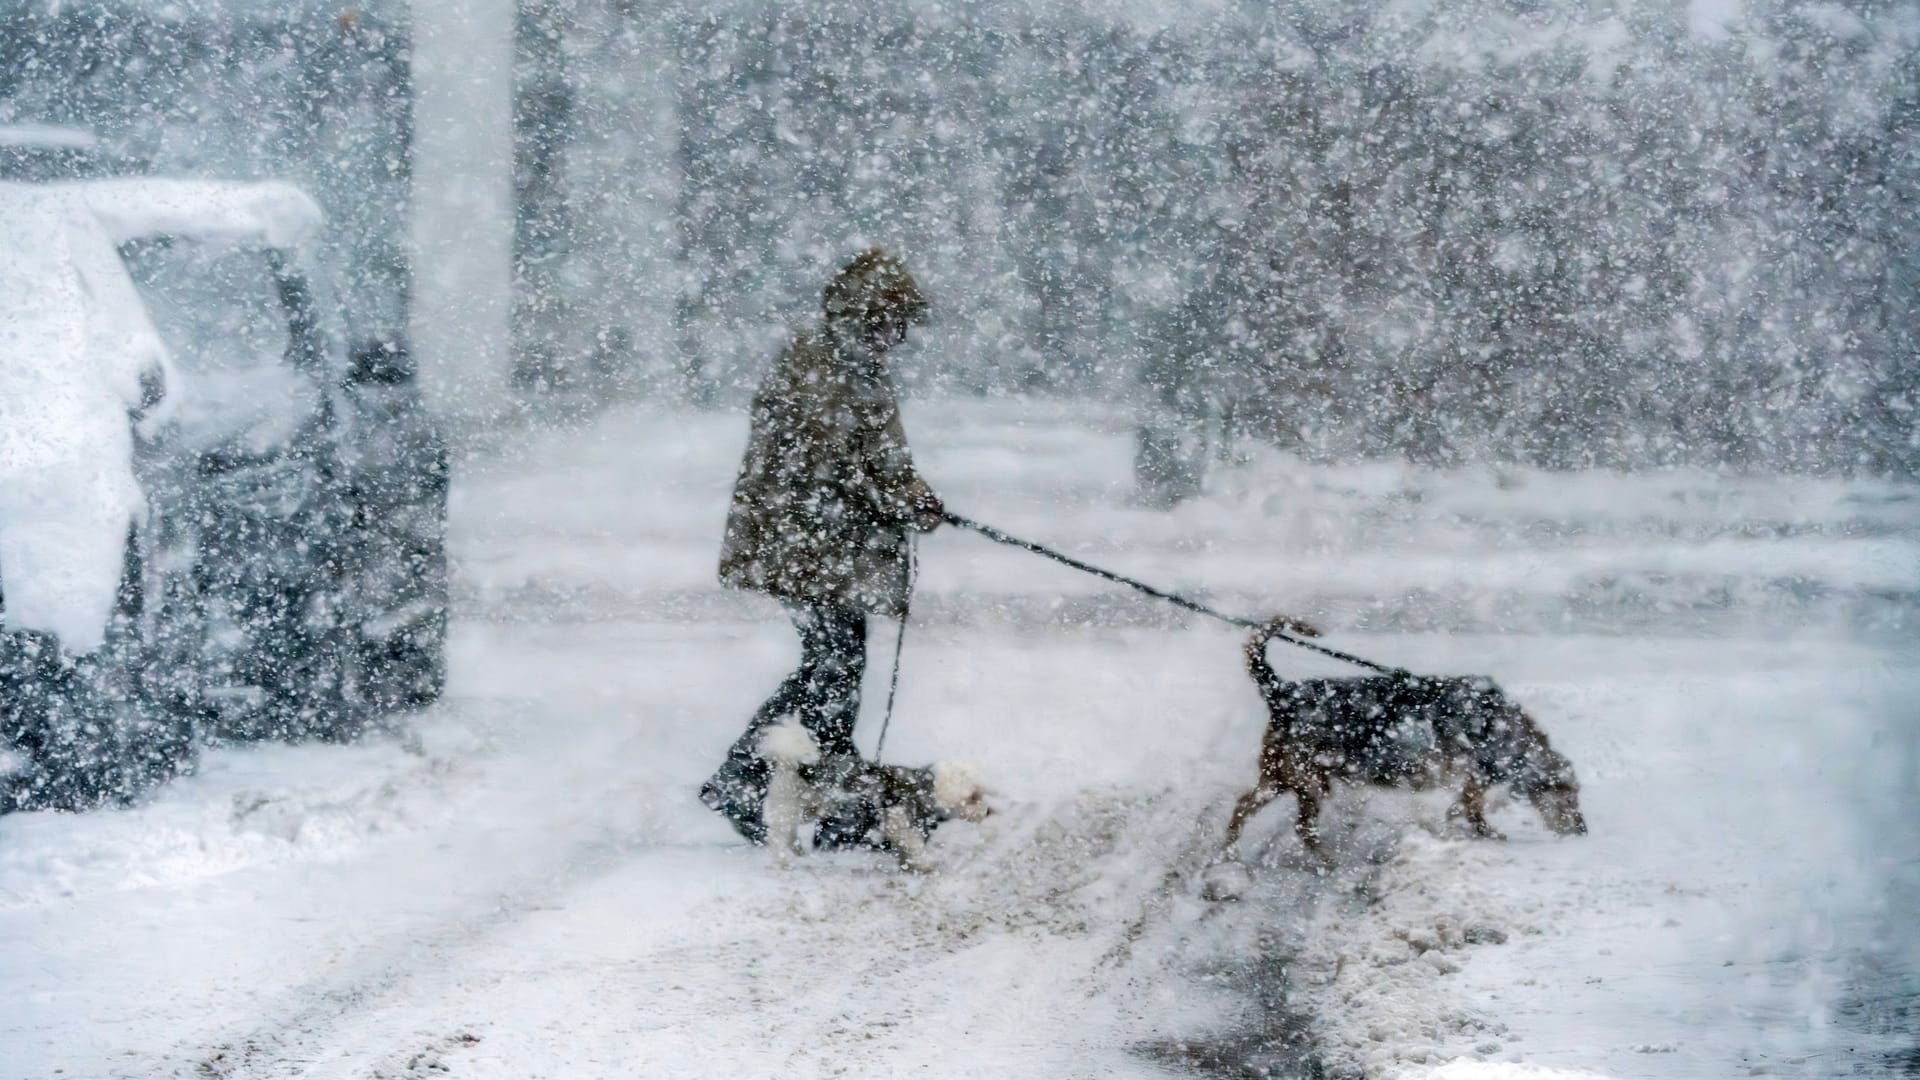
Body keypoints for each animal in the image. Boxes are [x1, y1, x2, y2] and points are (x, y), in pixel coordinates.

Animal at [1221, 618, 1582, 860]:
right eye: (1570, 795)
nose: (1583, 832)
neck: (1511, 734)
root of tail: (1281, 692)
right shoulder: (1476, 777)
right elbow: (1472, 810)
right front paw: (1489, 834)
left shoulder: (1471, 781)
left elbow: (1462, 807)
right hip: (1307, 780)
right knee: (1301, 828)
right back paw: (1325, 860)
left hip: (1283, 777)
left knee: (1243, 806)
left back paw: (1227, 851)